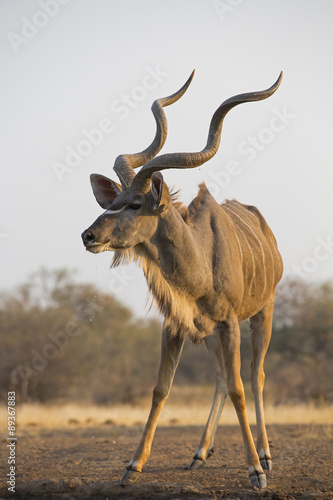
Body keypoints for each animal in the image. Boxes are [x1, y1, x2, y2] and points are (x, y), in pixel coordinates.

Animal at [81, 72, 282, 490]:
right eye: (113, 201)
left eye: (134, 204)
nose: (88, 236)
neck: (200, 267)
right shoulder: (176, 325)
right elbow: (161, 388)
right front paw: (133, 466)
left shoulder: (229, 323)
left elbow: (240, 387)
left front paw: (255, 471)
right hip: (209, 333)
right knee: (221, 377)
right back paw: (200, 453)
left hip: (263, 313)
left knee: (254, 376)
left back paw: (266, 455)